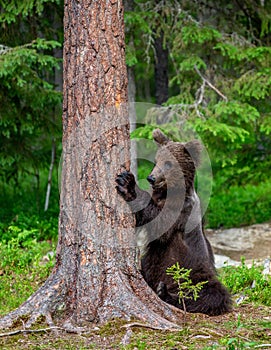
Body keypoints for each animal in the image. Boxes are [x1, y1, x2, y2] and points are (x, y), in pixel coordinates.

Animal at [116, 128, 233, 314]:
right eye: (156, 161)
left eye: (168, 163)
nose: (151, 178)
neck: (168, 192)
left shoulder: (182, 211)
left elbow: (159, 223)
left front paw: (128, 183)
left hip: (195, 273)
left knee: (212, 294)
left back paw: (164, 292)